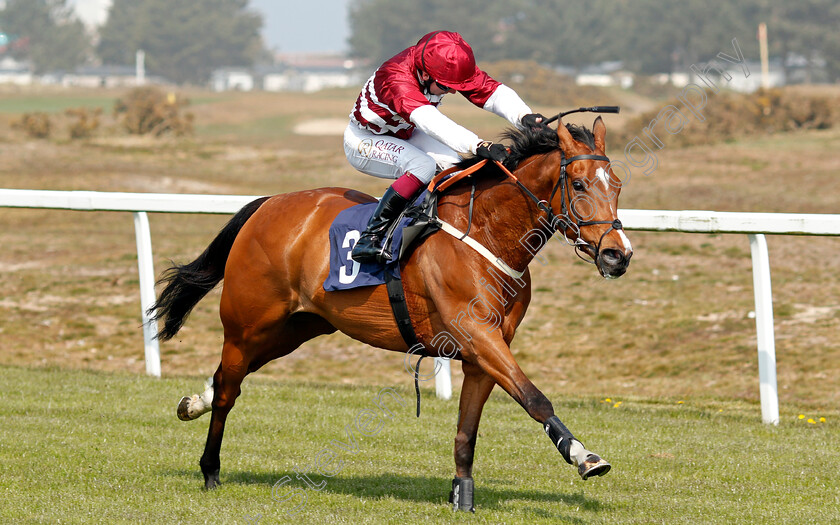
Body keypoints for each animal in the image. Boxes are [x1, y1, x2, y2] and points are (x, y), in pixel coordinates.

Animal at [154, 113, 632, 508]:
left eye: (617, 184)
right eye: (579, 185)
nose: (618, 255)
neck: (488, 233)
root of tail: (267, 203)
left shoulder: (482, 353)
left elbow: (467, 431)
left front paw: (462, 497)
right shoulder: (480, 336)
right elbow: (534, 397)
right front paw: (584, 456)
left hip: (296, 329)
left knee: (225, 379)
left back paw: (192, 403)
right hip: (247, 324)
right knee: (229, 389)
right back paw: (210, 470)